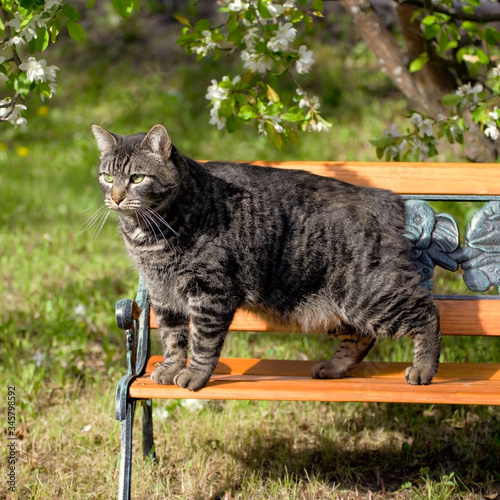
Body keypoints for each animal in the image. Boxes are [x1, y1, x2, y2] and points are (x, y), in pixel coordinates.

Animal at [92, 124, 440, 390]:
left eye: (137, 178)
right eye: (107, 177)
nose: (117, 197)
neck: (150, 235)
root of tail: (384, 197)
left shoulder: (210, 293)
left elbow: (202, 342)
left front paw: (193, 375)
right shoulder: (163, 295)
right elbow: (173, 339)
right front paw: (170, 367)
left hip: (369, 296)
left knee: (427, 314)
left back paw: (423, 369)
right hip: (333, 309)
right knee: (362, 337)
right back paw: (333, 368)